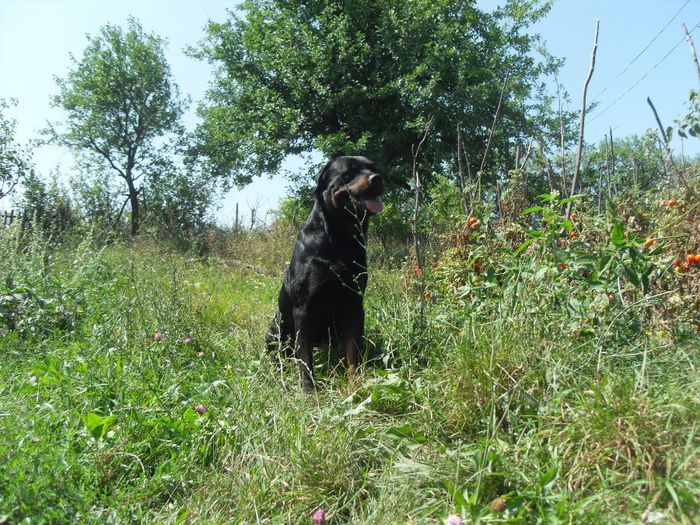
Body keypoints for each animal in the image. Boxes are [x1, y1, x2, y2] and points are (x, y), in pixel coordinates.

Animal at [266, 156, 386, 388]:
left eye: (373, 168)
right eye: (349, 173)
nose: (377, 178)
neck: (340, 238)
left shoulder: (354, 302)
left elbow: (352, 349)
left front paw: (355, 381)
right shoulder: (303, 308)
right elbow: (304, 357)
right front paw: (309, 389)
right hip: (276, 326)